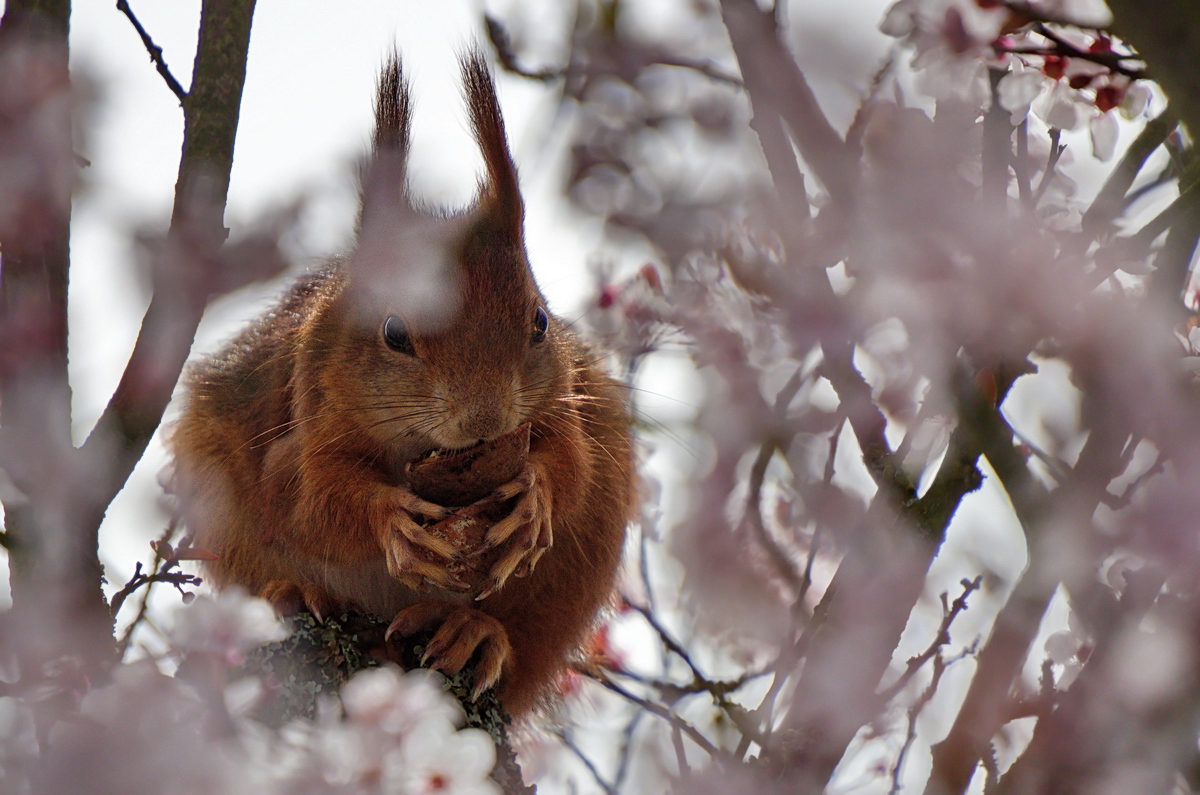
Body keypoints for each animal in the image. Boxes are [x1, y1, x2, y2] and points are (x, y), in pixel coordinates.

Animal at [169, 52, 638, 720]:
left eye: (540, 322)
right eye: (393, 331)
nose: (484, 419)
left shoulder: (562, 403)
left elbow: (572, 465)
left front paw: (536, 496)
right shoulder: (309, 418)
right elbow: (312, 501)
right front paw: (389, 519)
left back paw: (477, 632)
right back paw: (294, 592)